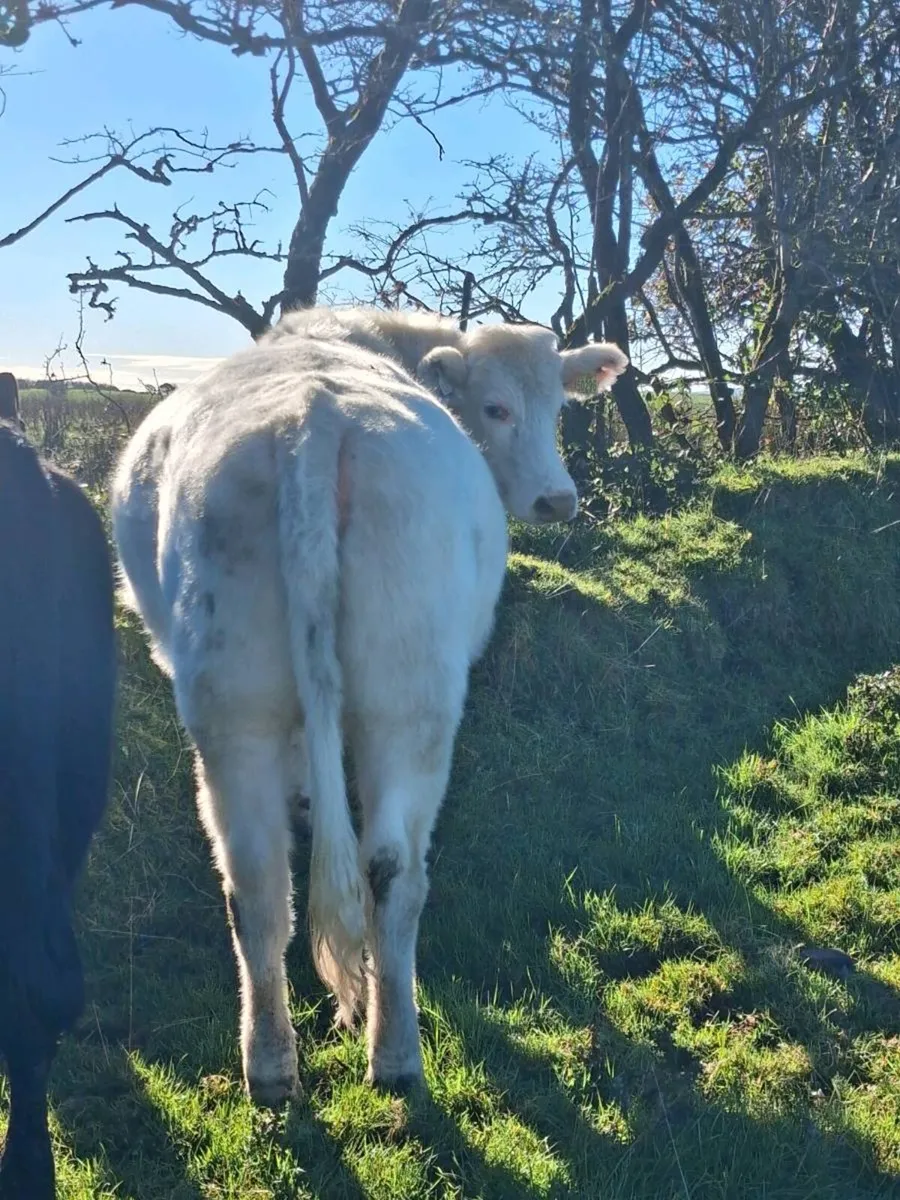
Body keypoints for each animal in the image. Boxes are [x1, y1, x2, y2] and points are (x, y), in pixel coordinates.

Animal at [110, 307, 627, 1106]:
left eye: (558, 407)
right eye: (496, 409)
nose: (557, 500)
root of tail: (309, 425)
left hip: (235, 702)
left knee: (259, 883)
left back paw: (271, 1065)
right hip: (412, 703)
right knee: (392, 873)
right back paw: (395, 1055)